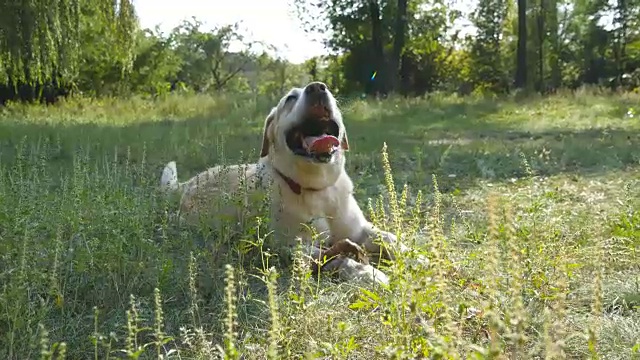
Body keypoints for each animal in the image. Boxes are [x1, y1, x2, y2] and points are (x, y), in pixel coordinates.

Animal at [159, 83, 424, 286]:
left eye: (326, 89)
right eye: (290, 98)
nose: (317, 87)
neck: (317, 190)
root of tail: (189, 182)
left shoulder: (360, 230)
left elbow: (388, 238)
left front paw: (414, 256)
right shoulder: (295, 248)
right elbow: (340, 258)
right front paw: (369, 273)